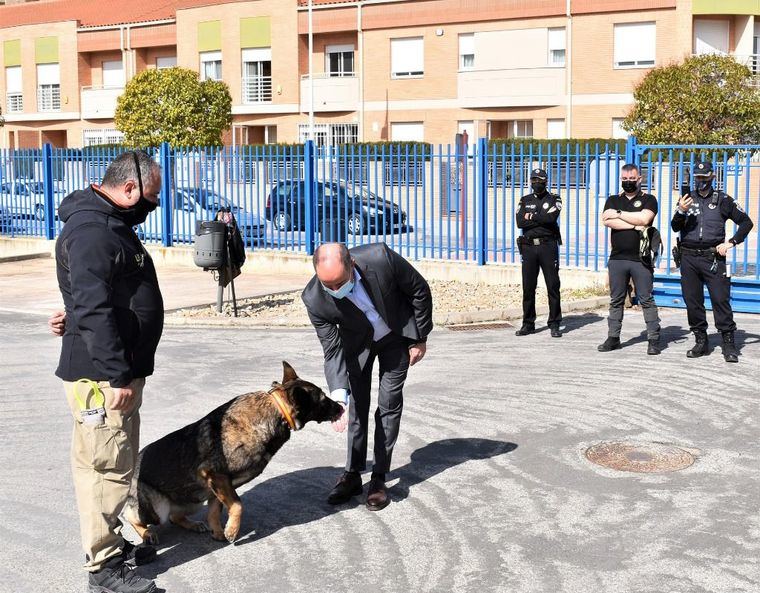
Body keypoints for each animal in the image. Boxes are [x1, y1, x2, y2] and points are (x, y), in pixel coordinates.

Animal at [123, 358, 342, 544]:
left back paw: (192, 524)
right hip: (157, 507)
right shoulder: (215, 475)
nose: (341, 408)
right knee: (132, 516)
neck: (275, 412)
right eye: (324, 399)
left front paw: (219, 532)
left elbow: (215, 510)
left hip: (194, 499)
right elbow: (237, 504)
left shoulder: (217, 485)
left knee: (175, 516)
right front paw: (232, 531)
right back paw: (147, 533)